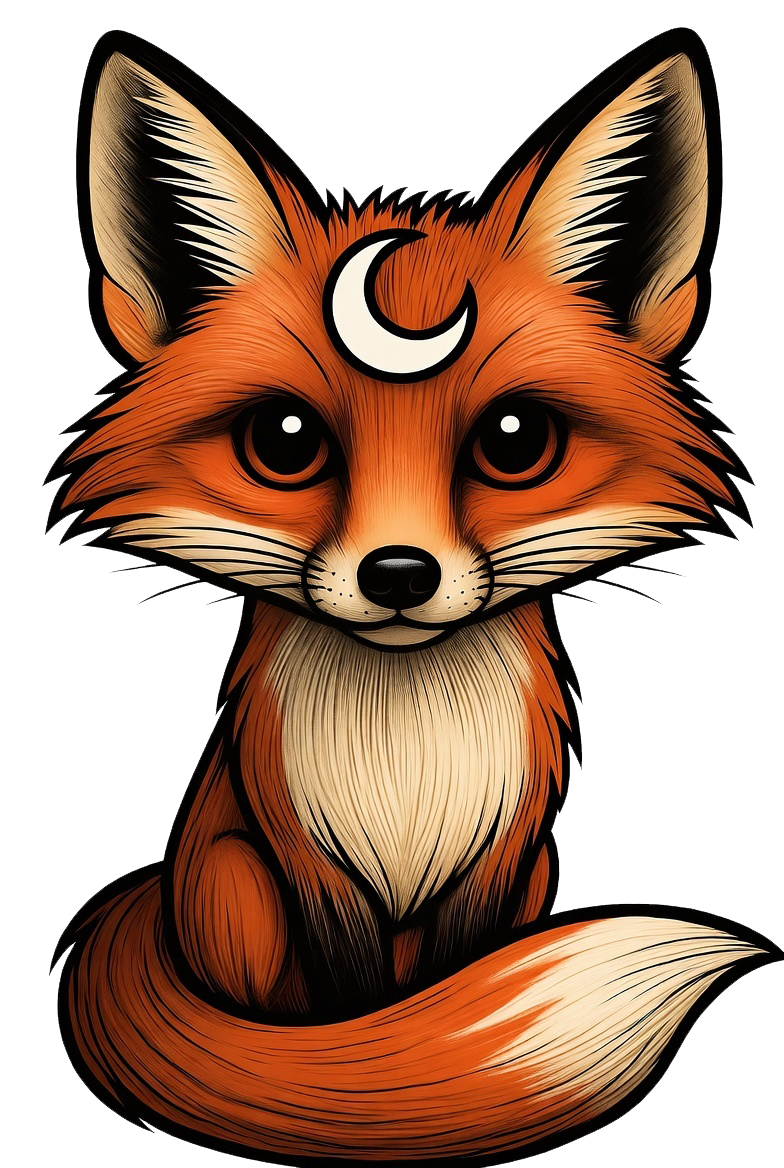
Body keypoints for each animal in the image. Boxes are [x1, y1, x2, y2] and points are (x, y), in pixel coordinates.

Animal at [48, 26, 780, 1166]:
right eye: (285, 441)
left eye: (516, 440)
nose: (399, 574)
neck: (405, 762)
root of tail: (153, 894)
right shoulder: (309, 865)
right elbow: (358, 1022)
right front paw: (352, 1096)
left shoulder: (501, 857)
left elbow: (442, 990)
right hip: (235, 883)